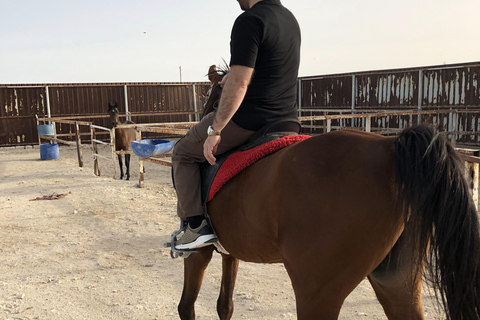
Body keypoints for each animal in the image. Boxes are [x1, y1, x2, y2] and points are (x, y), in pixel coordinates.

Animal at [175, 66, 480, 318]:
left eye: (215, 100)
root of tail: (390, 147)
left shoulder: (199, 252)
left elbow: (187, 305)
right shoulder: (230, 251)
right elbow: (224, 306)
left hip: (317, 292)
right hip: (397, 282)